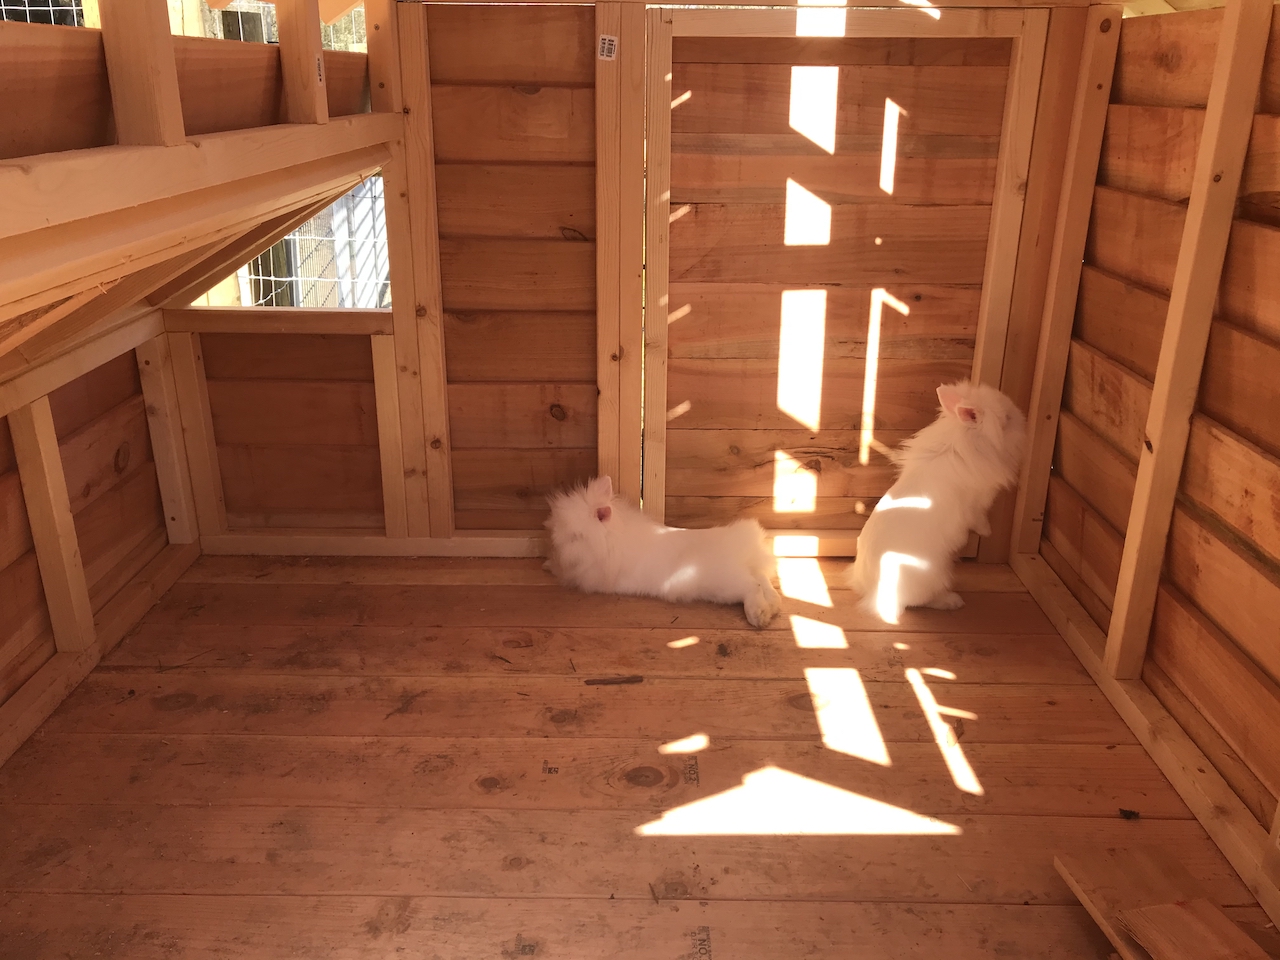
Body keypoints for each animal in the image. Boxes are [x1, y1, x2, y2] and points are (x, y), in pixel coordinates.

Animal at [545, 476, 782, 628]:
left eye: (576, 536)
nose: (555, 544)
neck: (611, 537)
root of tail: (741, 547)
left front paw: (549, 566)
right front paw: (548, 563)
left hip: (726, 584)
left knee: (752, 586)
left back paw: (758, 616)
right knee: (763, 581)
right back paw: (774, 607)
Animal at [846, 380, 1027, 624]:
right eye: (1006, 418)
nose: (1021, 418)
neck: (965, 438)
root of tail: (874, 592)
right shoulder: (976, 502)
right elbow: (979, 518)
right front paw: (987, 531)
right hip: (932, 577)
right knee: (920, 601)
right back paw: (951, 601)